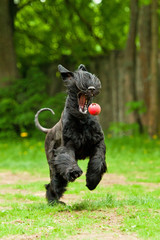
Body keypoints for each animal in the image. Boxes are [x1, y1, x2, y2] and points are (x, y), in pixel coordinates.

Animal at [35, 64, 106, 203]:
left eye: (91, 76)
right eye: (76, 79)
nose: (91, 88)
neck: (82, 120)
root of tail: (49, 130)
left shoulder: (98, 142)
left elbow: (98, 160)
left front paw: (92, 181)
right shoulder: (67, 145)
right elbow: (67, 158)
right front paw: (74, 172)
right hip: (53, 163)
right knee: (54, 182)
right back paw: (54, 201)